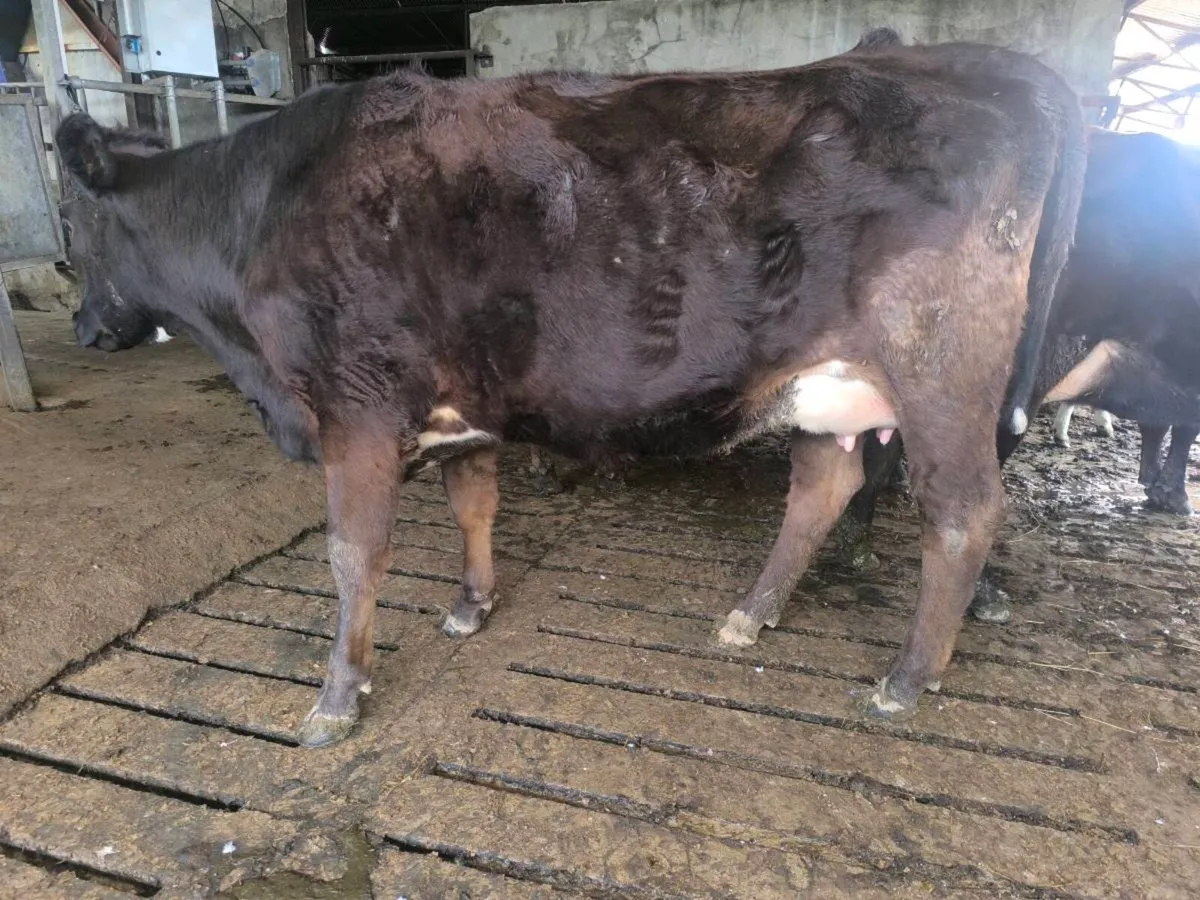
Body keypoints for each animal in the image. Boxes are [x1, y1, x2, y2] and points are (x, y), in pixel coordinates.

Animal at [56, 27, 1085, 748]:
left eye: (72, 219)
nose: (82, 326)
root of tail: (1003, 68)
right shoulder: (457, 406)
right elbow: (474, 501)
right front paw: (471, 606)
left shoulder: (356, 408)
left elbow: (353, 557)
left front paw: (336, 700)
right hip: (831, 381)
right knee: (824, 484)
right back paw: (750, 617)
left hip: (941, 370)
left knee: (960, 514)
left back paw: (904, 680)